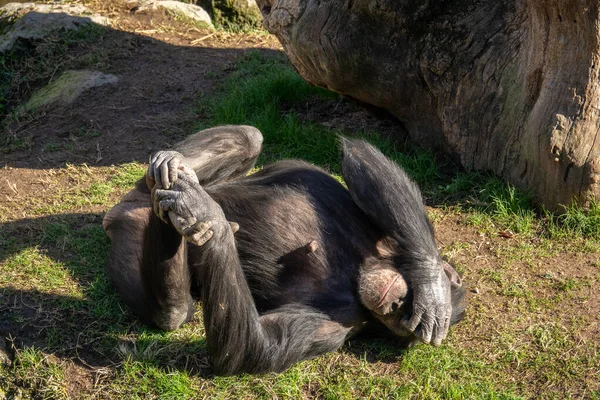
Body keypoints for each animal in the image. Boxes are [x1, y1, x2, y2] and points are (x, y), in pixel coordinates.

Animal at [103, 125, 466, 376]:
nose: (394, 302)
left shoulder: (336, 328)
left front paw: (212, 221)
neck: (362, 268)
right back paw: (171, 166)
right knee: (251, 137)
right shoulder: (380, 235)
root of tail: (120, 213)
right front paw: (433, 288)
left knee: (173, 314)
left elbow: (254, 349)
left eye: (401, 322)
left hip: (127, 243)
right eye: (407, 308)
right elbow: (365, 161)